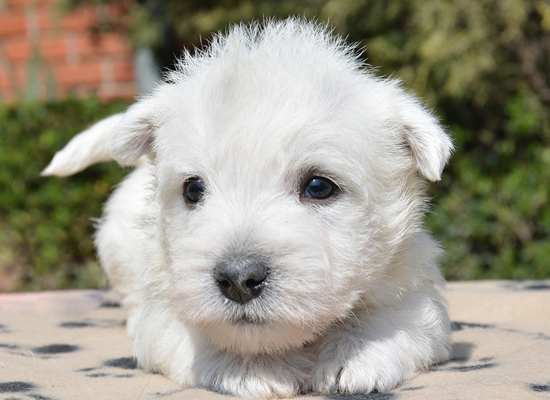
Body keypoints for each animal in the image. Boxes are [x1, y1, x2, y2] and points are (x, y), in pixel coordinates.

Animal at [43, 18, 454, 396]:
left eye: (319, 186)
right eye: (193, 189)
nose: (238, 280)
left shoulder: (412, 291)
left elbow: (387, 320)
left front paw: (354, 357)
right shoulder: (166, 310)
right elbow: (204, 332)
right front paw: (255, 367)